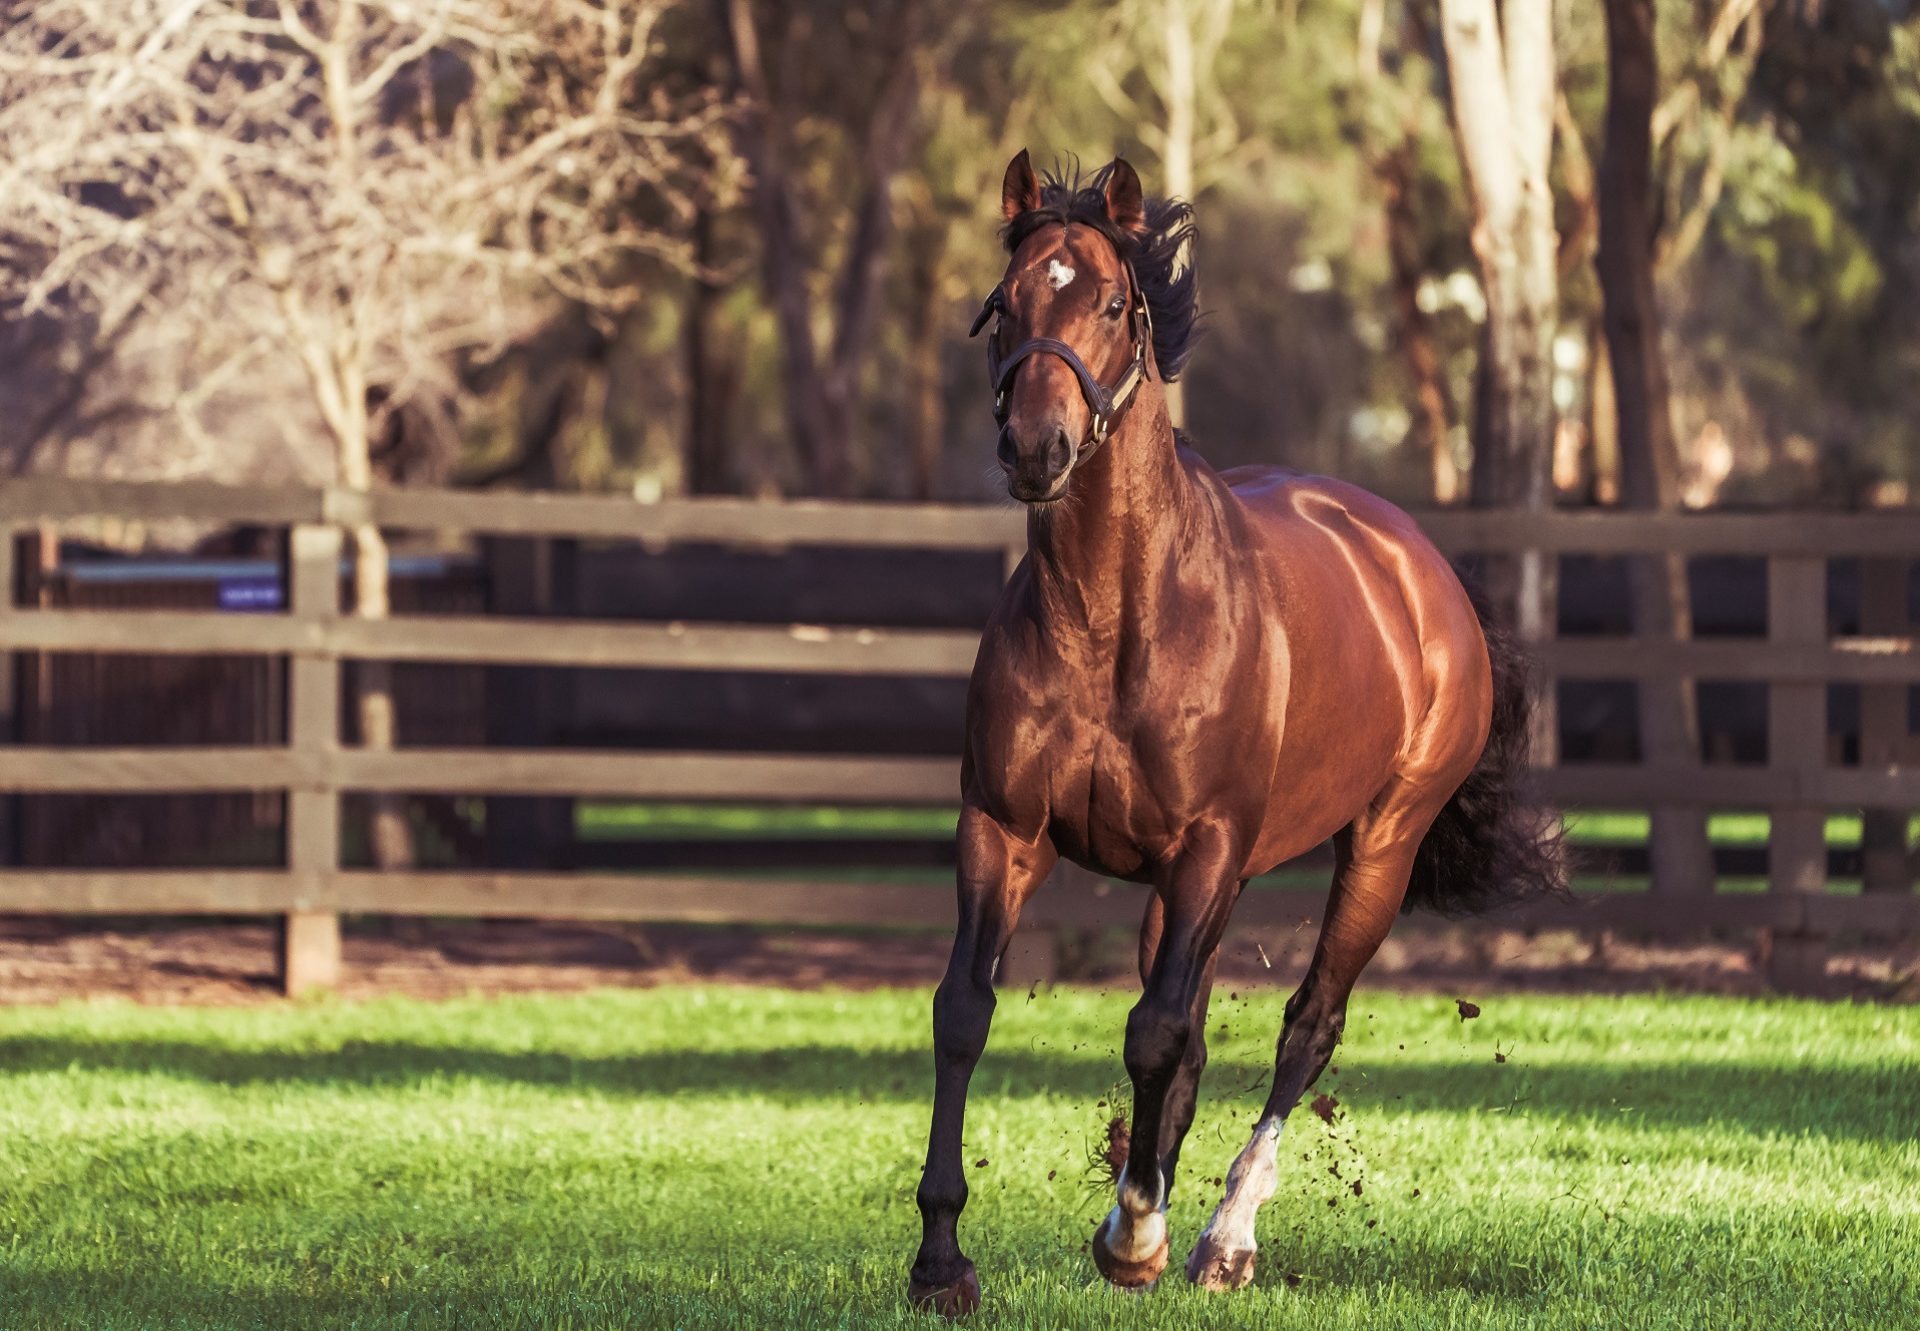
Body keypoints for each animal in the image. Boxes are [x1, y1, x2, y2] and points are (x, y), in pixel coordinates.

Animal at [906, 152, 1566, 1306]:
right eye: (1006, 304)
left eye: (1112, 304)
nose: (1036, 446)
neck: (1117, 619)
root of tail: (1419, 564)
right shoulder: (1003, 828)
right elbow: (968, 1012)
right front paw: (944, 1257)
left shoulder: (1205, 844)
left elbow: (1158, 1029)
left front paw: (1135, 1234)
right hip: (1210, 881)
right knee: (1196, 1033)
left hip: (1376, 848)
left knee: (1305, 1027)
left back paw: (1221, 1236)